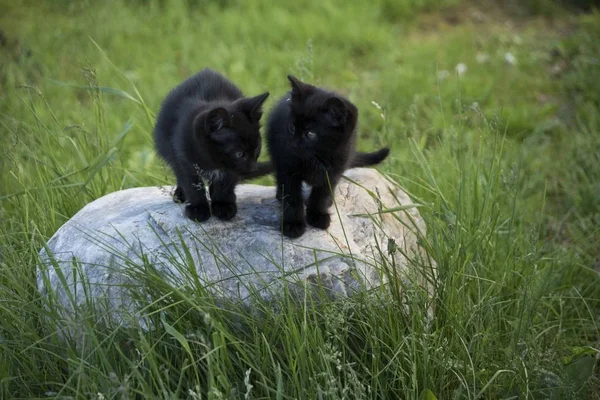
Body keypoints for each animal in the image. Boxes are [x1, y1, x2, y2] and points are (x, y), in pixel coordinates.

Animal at [155, 68, 270, 222]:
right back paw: (180, 194)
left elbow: (225, 182)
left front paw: (223, 205)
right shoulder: (183, 158)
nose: (252, 169)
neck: (212, 160)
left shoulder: (230, 169)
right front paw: (198, 209)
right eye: (239, 154)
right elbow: (191, 184)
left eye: (257, 148)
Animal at [266, 75, 390, 238]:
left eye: (310, 134)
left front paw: (318, 215)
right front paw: (293, 224)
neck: (318, 157)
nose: (292, 145)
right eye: (292, 128)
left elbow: (322, 194)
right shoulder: (287, 168)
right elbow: (292, 196)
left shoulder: (334, 170)